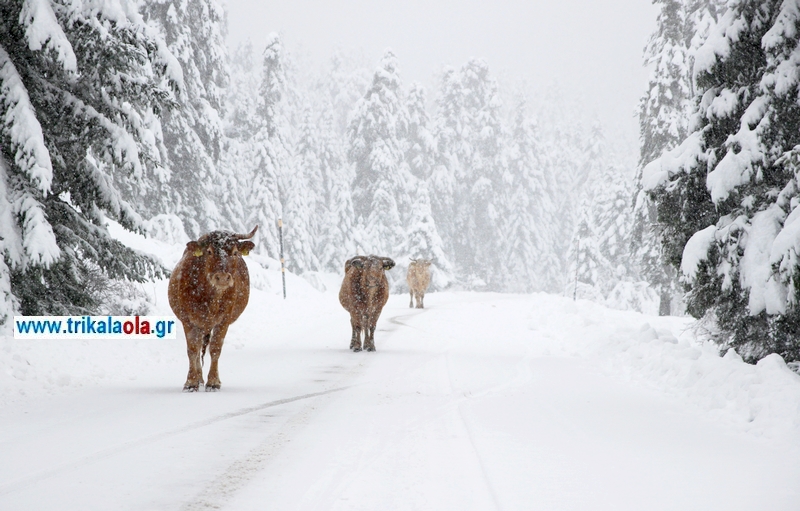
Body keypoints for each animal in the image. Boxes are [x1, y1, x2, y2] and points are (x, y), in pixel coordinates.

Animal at [168, 226, 256, 390]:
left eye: (235, 252)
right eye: (209, 251)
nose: (222, 277)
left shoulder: (224, 320)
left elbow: (215, 348)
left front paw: (214, 381)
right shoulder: (188, 319)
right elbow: (192, 349)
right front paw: (191, 382)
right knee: (198, 348)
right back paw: (198, 378)